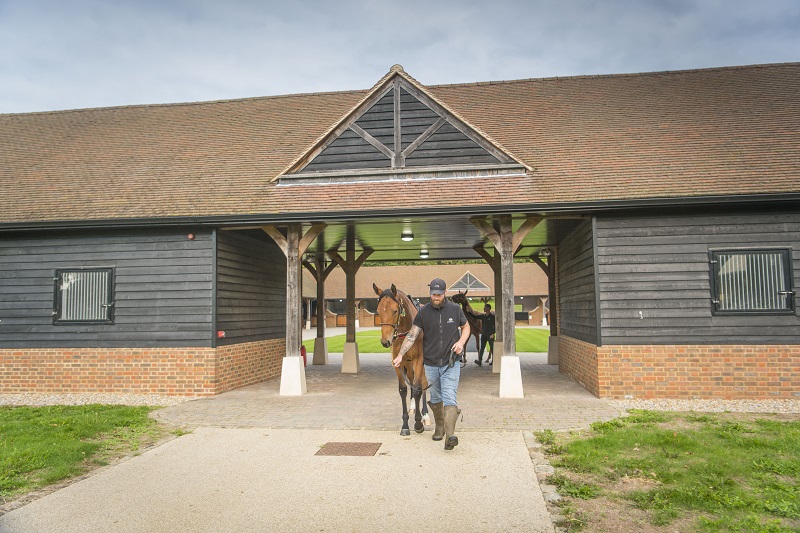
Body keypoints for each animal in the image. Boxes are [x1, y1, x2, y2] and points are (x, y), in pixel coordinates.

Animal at [372, 282, 428, 436]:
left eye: (395, 311)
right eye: (378, 311)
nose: (385, 341)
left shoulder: (419, 360)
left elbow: (417, 388)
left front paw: (418, 423)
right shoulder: (398, 362)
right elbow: (403, 390)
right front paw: (405, 425)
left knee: (424, 383)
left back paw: (425, 414)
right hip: (408, 364)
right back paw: (413, 406)